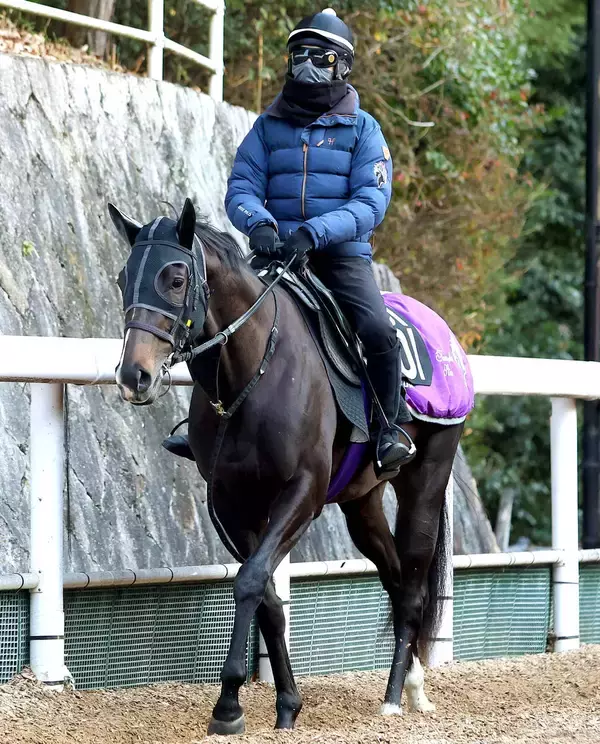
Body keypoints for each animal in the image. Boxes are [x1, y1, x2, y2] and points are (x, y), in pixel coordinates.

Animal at [109, 198, 466, 735]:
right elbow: (267, 599)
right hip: (362, 503)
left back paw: (394, 698)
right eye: (123, 277)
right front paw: (285, 705)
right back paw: (414, 686)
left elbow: (252, 581)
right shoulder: (230, 504)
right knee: (394, 573)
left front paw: (228, 706)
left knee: (412, 587)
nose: (135, 375)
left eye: (175, 277)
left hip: (424, 482)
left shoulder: (302, 494)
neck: (254, 370)